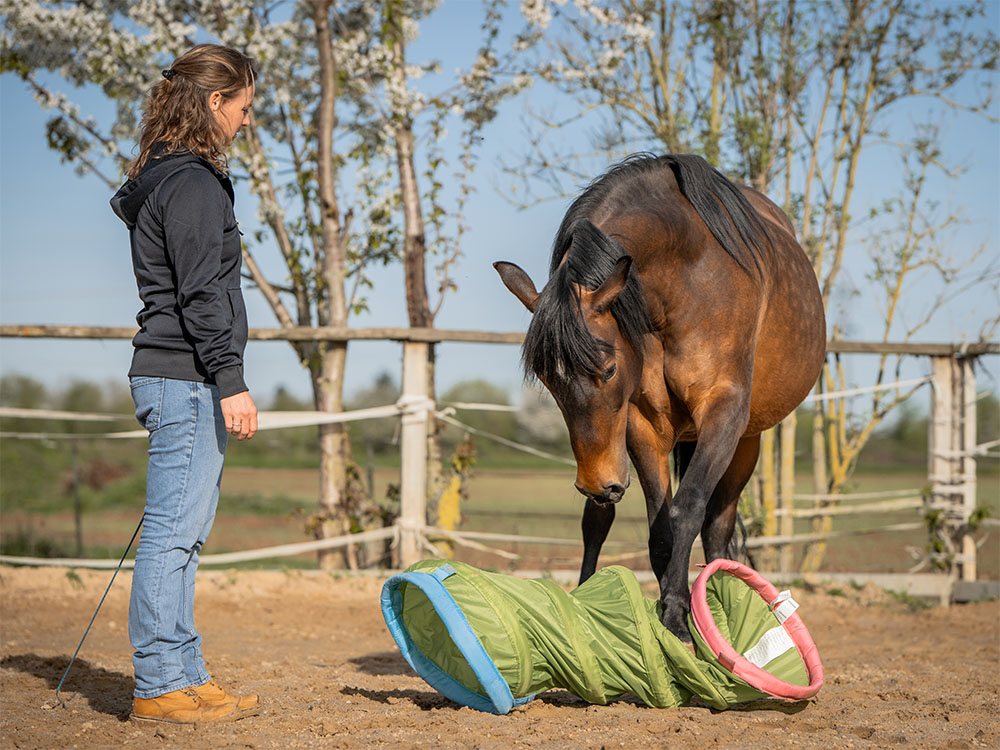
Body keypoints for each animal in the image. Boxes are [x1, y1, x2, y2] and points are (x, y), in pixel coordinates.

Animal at [494, 154, 826, 641]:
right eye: (546, 380)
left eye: (609, 369)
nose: (597, 483)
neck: (686, 280)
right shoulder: (642, 424)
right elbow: (659, 528)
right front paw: (668, 610)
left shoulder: (723, 413)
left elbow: (687, 510)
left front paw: (677, 616)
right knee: (599, 521)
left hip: (746, 441)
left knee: (717, 524)